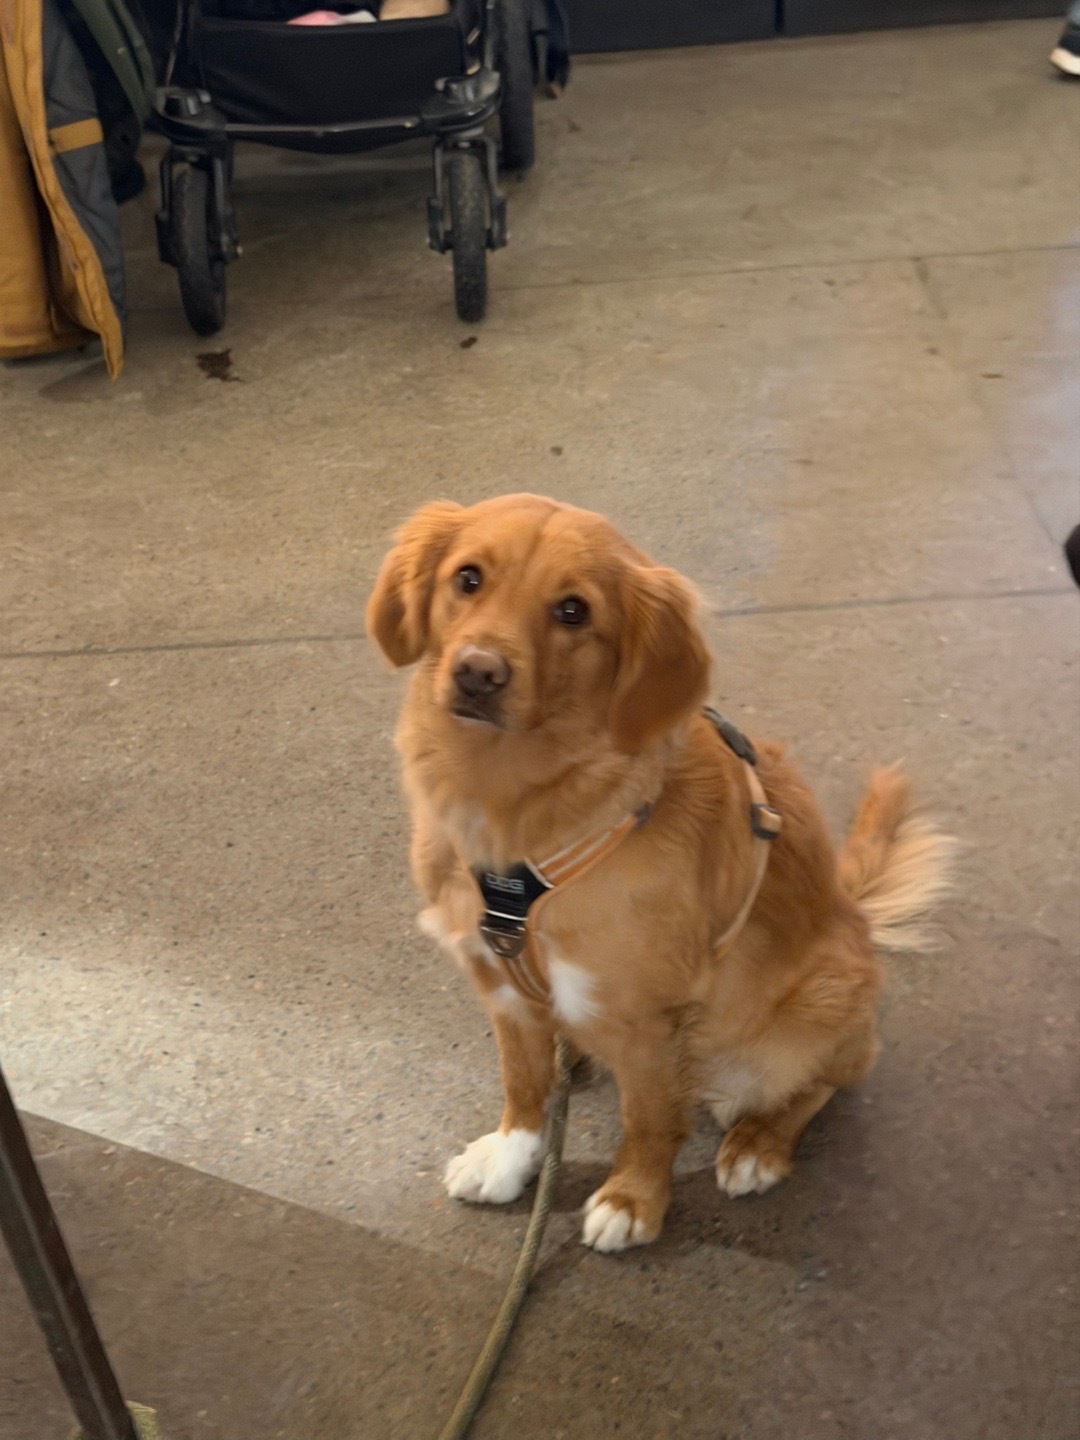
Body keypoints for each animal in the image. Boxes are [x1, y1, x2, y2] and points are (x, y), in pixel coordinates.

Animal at [367, 494, 953, 1252]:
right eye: (467, 579)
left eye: (573, 611)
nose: (477, 672)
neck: (514, 807)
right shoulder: (497, 979)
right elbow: (521, 1082)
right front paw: (513, 1155)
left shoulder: (648, 1019)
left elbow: (648, 1120)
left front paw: (633, 1199)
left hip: (819, 1004)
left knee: (833, 1075)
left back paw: (760, 1143)